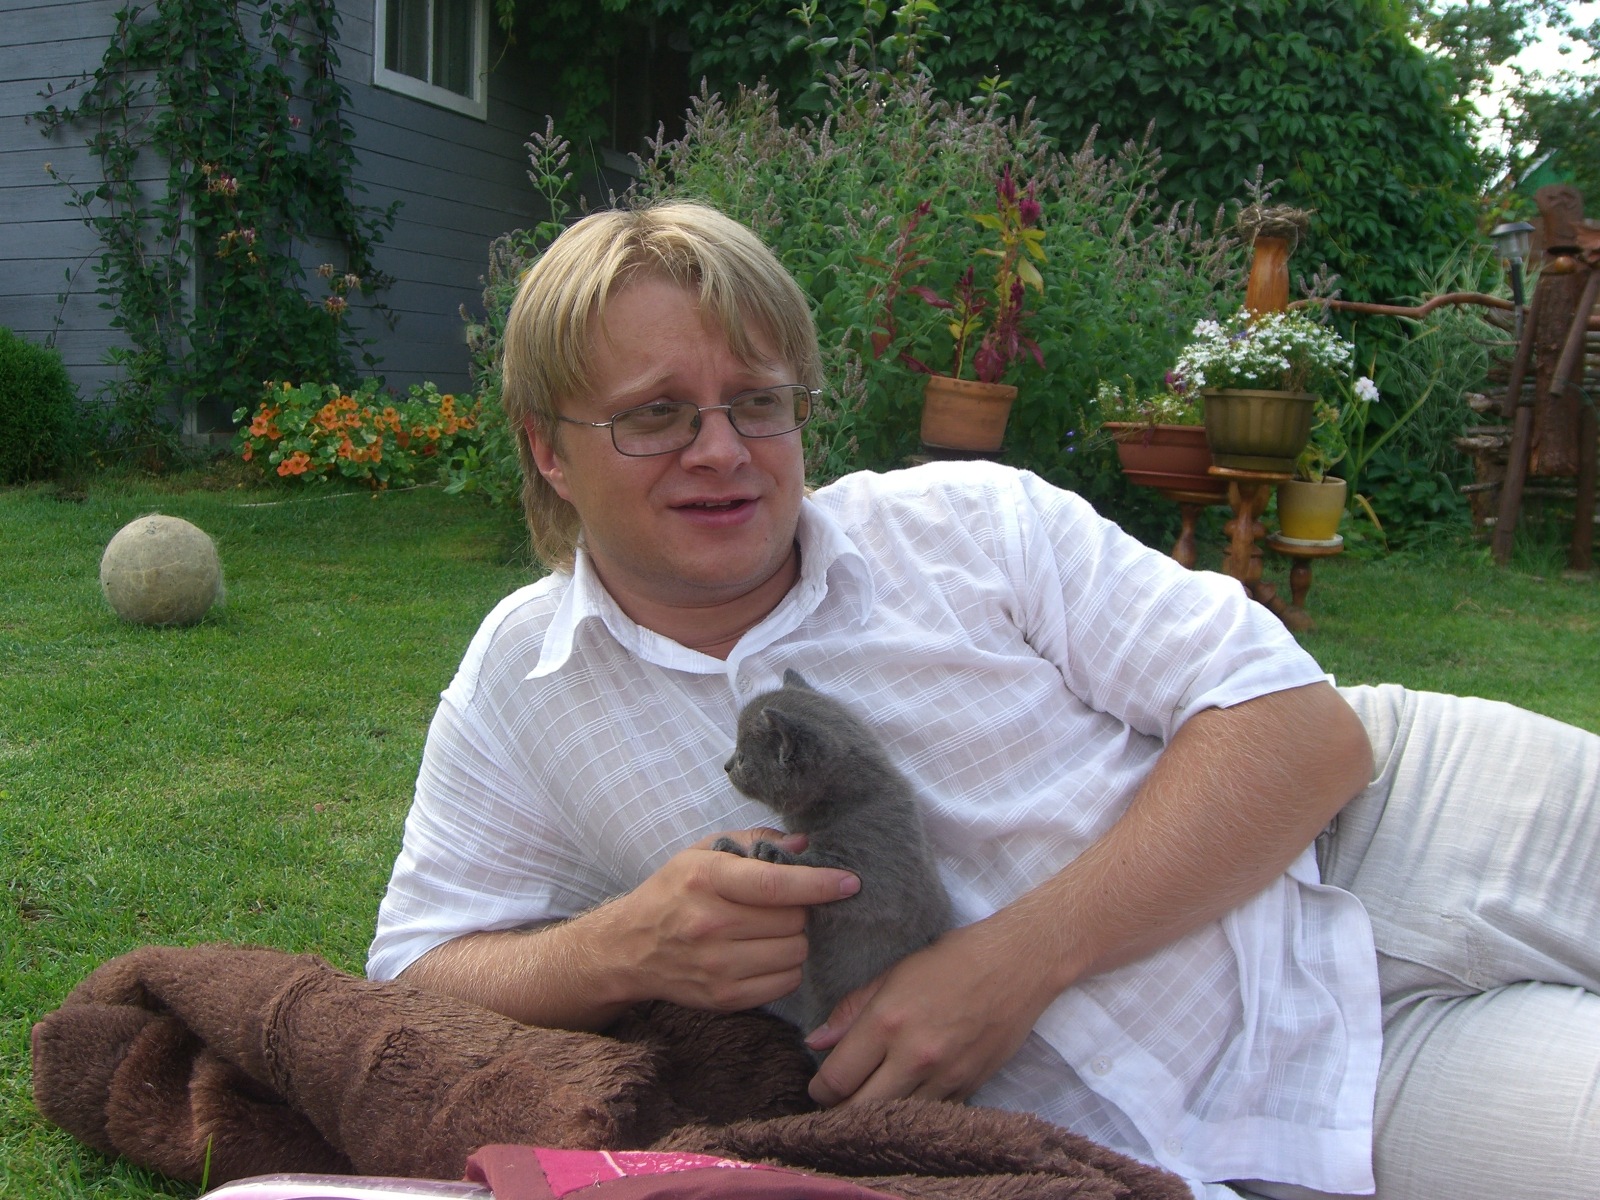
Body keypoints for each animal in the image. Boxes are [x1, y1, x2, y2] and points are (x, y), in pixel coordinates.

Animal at [713, 669, 952, 1038]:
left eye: (742, 757)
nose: (725, 766)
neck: (845, 802)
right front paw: (733, 849)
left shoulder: (882, 880)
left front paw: (772, 854)